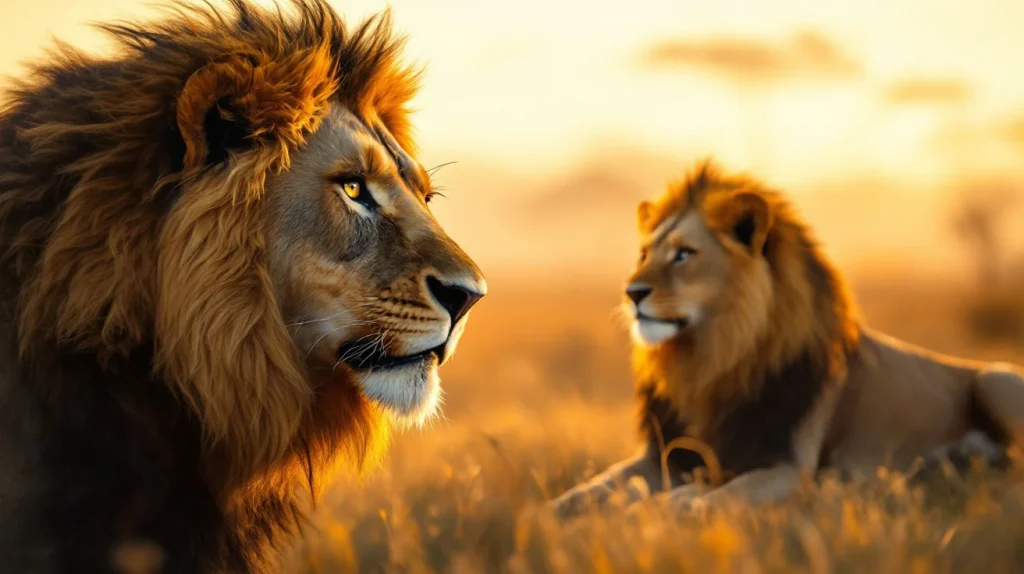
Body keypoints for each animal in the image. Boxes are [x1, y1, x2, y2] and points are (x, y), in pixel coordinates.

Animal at [550, 160, 1024, 519]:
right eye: (644, 254)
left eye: (684, 254)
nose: (630, 293)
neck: (710, 361)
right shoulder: (668, 453)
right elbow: (596, 484)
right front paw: (548, 513)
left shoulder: (788, 468)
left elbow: (722, 496)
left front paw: (674, 505)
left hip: (995, 379)